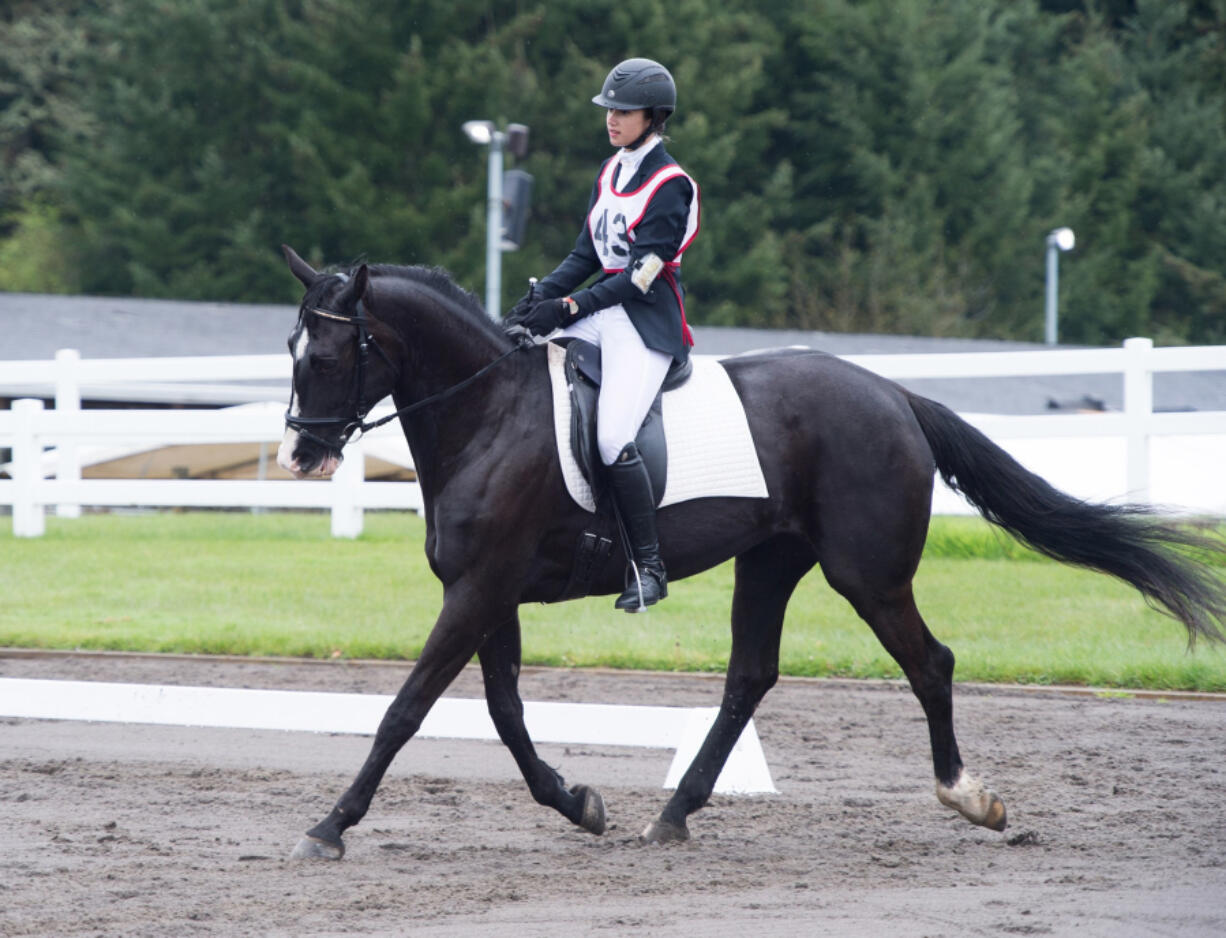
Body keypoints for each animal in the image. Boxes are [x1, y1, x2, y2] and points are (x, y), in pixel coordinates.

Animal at [278, 245, 1226, 858]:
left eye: (326, 353)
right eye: (292, 351)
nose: (299, 455)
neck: (490, 413)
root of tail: (893, 394)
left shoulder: (479, 589)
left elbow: (405, 710)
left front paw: (329, 827)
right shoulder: (490, 593)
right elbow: (505, 715)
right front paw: (579, 804)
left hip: (867, 573)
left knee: (931, 663)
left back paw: (970, 798)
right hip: (771, 561)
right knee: (749, 678)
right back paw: (673, 815)